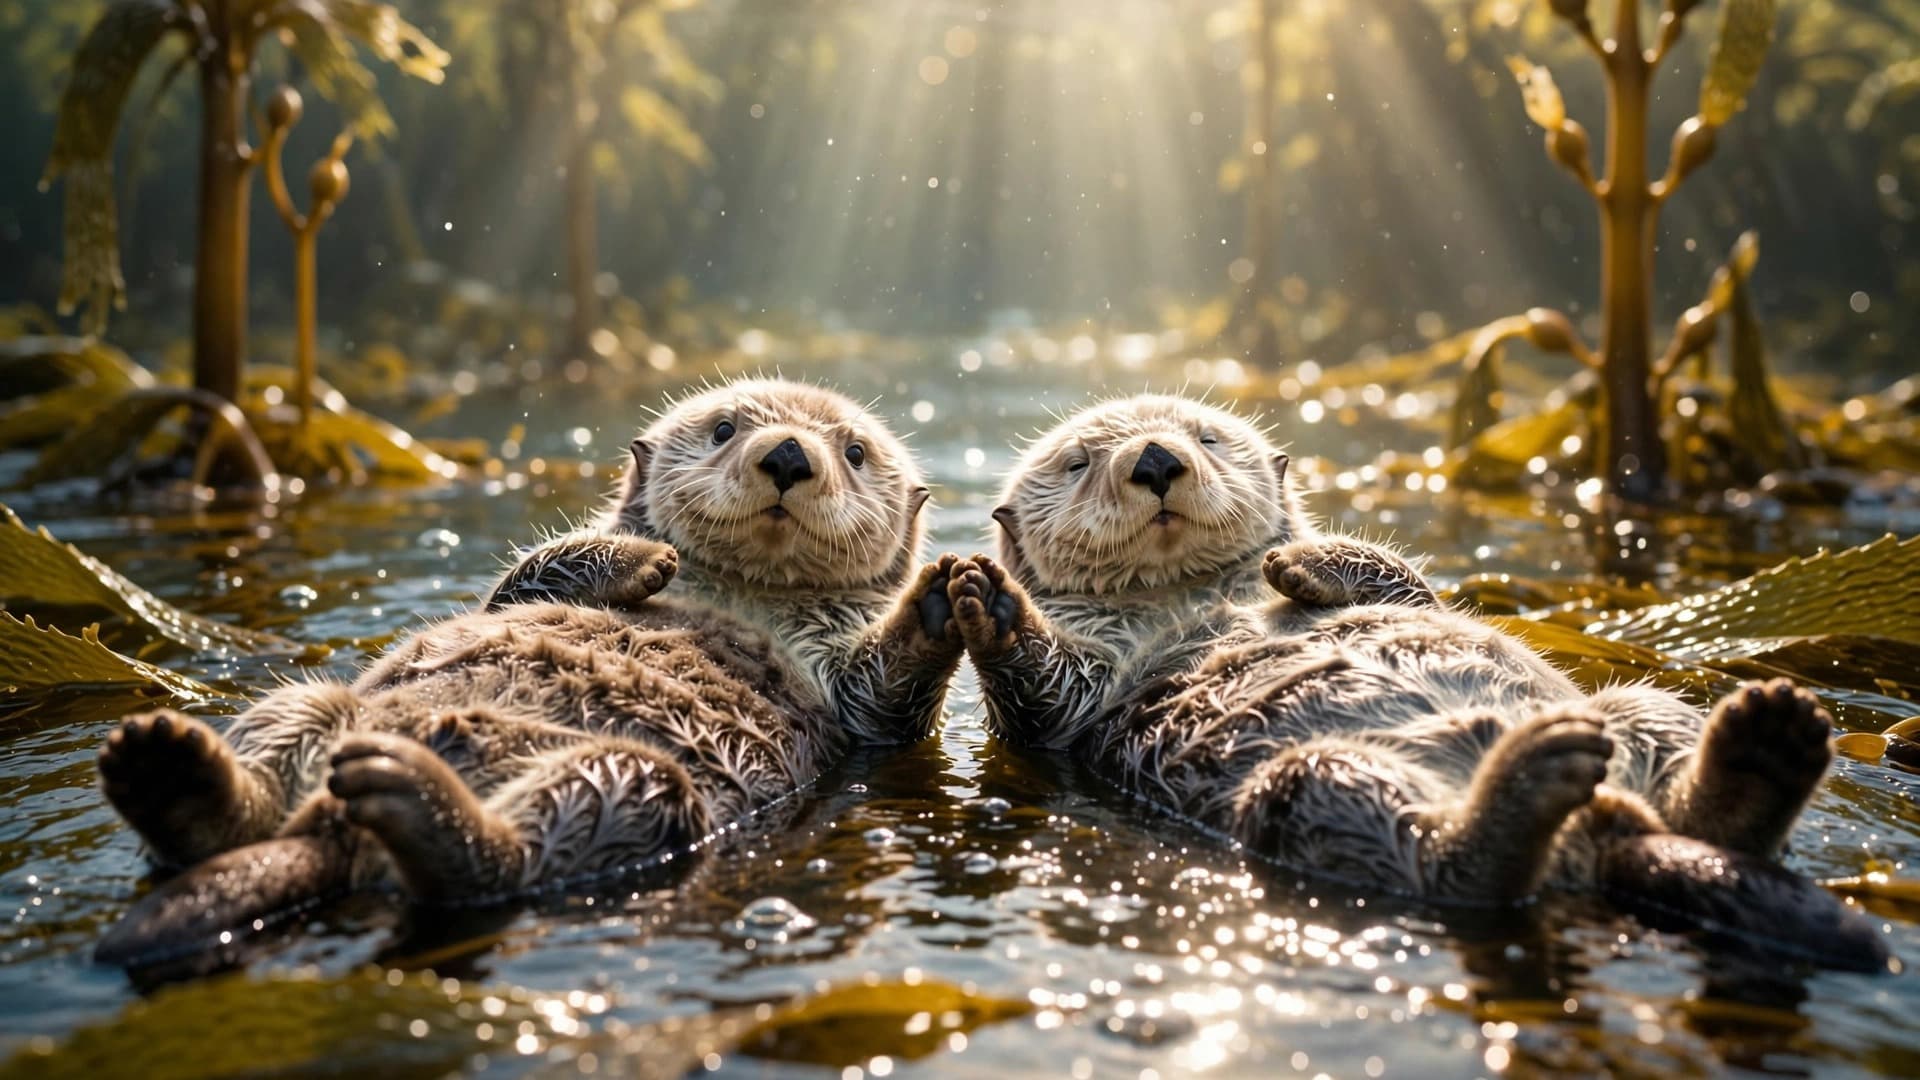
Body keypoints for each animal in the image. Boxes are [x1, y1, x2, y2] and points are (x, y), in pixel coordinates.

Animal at [96, 380, 965, 959]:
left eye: (854, 452)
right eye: (724, 429)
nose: (787, 453)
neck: (745, 593)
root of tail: (334, 827)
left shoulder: (846, 686)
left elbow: (884, 701)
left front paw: (939, 599)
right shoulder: (512, 592)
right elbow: (525, 580)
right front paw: (644, 560)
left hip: (630, 785)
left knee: (497, 867)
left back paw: (414, 800)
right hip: (309, 708)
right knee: (247, 786)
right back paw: (170, 768)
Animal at [938, 394, 1883, 965]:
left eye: (1206, 437)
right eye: (1077, 462)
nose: (1157, 462)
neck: (1187, 593)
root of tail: (1608, 831)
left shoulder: (1405, 588)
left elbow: (1402, 581)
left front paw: (1299, 563)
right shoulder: (1087, 687)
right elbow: (1043, 694)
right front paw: (987, 598)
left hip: (1636, 709)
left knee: (1694, 781)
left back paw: (1764, 745)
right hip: (1308, 787)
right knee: (1459, 873)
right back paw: (1534, 784)